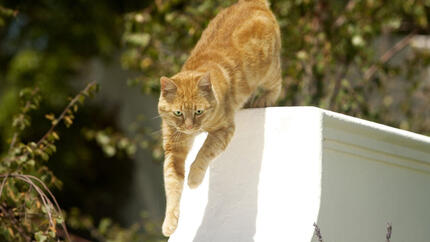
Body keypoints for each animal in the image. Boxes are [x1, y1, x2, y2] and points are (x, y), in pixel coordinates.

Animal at [158, 0, 282, 235]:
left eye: (199, 111)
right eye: (178, 113)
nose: (190, 127)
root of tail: (253, 2)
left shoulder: (224, 130)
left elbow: (204, 153)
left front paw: (194, 179)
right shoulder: (174, 149)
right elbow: (172, 185)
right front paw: (170, 221)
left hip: (269, 70)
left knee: (277, 85)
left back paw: (263, 100)